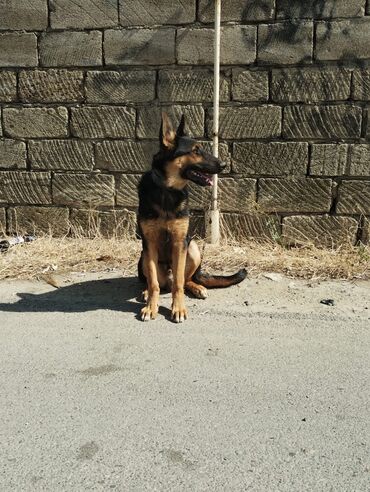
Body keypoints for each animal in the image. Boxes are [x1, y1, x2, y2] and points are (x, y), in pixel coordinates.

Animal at [136, 111, 246, 322]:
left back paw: (197, 287)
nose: (224, 164)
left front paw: (178, 308)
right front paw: (151, 307)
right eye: (195, 150)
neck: (167, 190)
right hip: (144, 256)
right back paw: (145, 292)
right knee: (154, 282)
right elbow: (153, 283)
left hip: (193, 248)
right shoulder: (149, 243)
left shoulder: (181, 242)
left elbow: (179, 283)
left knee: (185, 279)